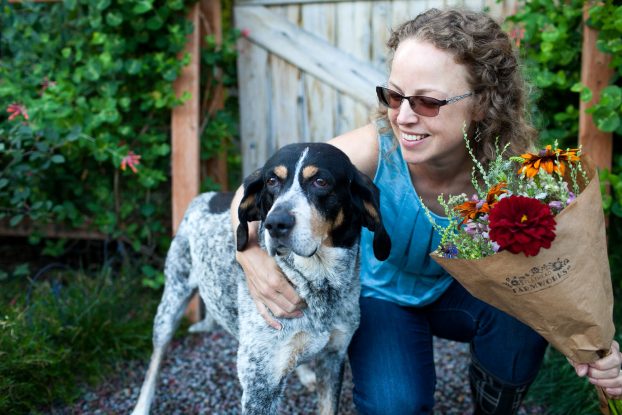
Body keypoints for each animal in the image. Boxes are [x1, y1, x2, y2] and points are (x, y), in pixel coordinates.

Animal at [133, 144, 390, 415]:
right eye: (271, 181)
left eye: (321, 181)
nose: (275, 223)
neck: (318, 283)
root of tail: (207, 196)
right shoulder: (260, 386)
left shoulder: (333, 357)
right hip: (171, 303)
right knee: (155, 360)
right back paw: (141, 406)